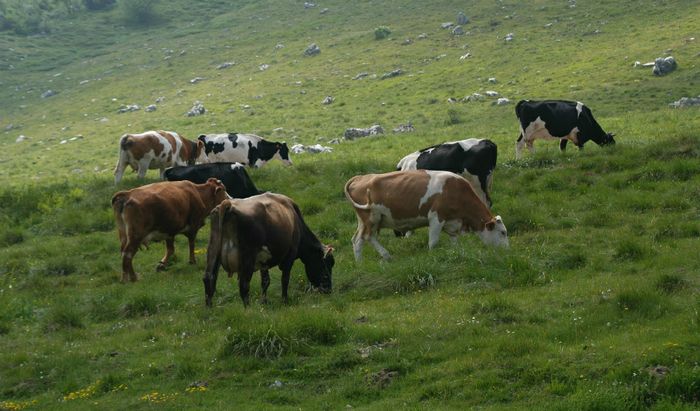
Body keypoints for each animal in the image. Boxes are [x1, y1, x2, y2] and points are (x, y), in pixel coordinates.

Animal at [203, 193, 334, 307]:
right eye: (325, 264)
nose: (328, 289)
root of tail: (228, 204)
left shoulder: (263, 260)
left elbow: (265, 281)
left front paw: (264, 302)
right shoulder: (290, 255)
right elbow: (285, 279)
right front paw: (285, 301)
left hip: (213, 250)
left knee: (208, 279)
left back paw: (209, 309)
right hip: (248, 256)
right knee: (244, 285)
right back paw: (248, 310)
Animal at [344, 170, 509, 261]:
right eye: (502, 232)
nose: (507, 251)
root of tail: (360, 177)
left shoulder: (452, 223)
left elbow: (455, 242)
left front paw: (458, 254)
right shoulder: (436, 218)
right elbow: (433, 242)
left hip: (366, 221)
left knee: (360, 239)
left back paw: (372, 260)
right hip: (371, 218)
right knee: (363, 239)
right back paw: (370, 261)